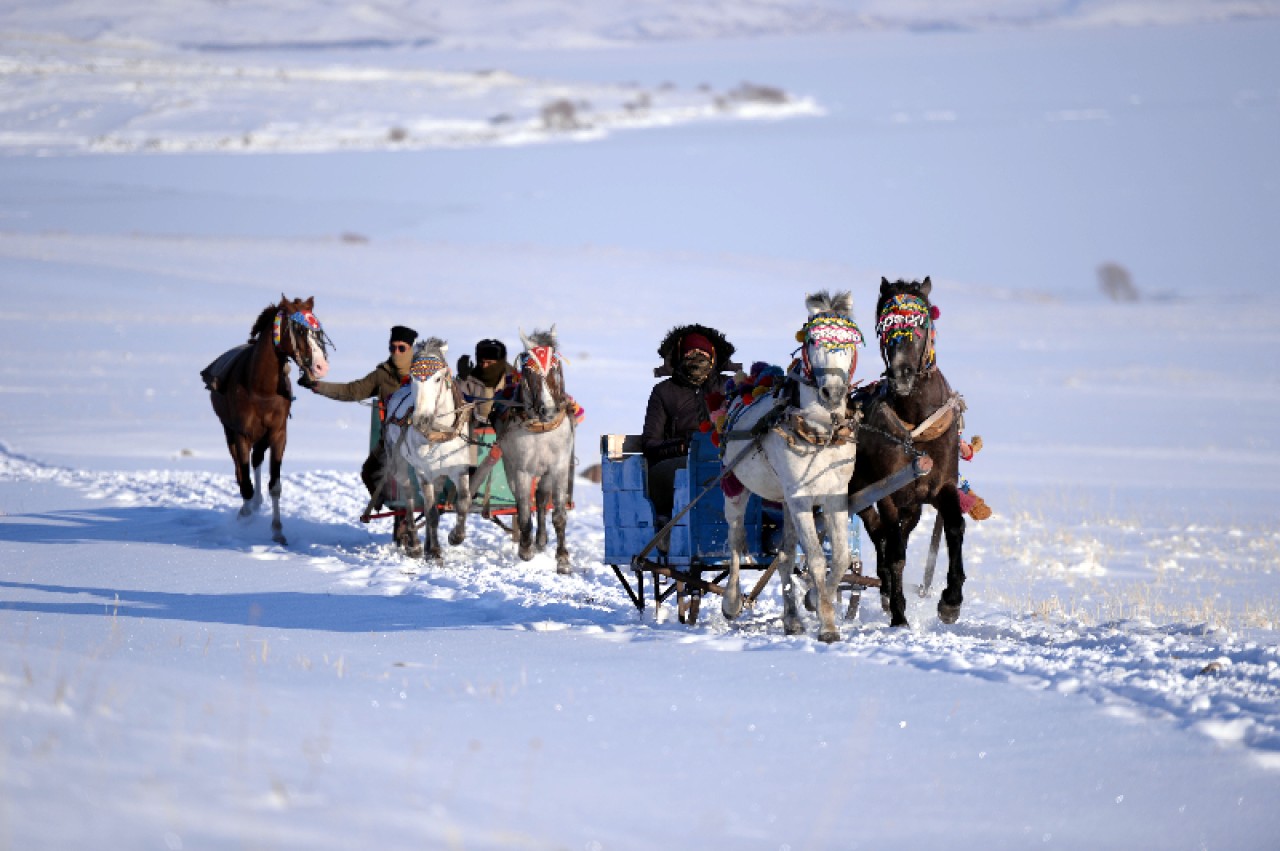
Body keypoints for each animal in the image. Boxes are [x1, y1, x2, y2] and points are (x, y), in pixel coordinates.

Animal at [204, 294, 330, 545]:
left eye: (318, 332)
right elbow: (245, 482)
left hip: (262, 438)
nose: (321, 366)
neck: (261, 389)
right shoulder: (242, 434)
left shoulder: (278, 434)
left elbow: (275, 486)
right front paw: (246, 516)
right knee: (240, 470)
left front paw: (277, 531)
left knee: (256, 461)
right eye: (299, 330)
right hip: (230, 432)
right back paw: (248, 507)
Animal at [381, 335, 478, 560]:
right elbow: (431, 512)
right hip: (401, 463)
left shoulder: (459, 470)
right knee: (409, 498)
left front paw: (455, 537)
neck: (439, 432)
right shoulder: (425, 472)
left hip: (439, 475)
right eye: (411, 378)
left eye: (438, 379)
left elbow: (463, 502)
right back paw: (415, 545)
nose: (421, 420)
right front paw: (434, 551)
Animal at [494, 327, 576, 573]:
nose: (547, 409)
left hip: (546, 473)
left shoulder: (558, 468)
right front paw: (525, 549)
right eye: (528, 369)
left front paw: (563, 559)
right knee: (523, 505)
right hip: (511, 468)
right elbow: (522, 512)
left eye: (555, 366)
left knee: (540, 500)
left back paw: (541, 540)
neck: (542, 430)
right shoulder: (522, 470)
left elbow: (558, 515)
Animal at [721, 289, 870, 639]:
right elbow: (815, 558)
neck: (820, 432)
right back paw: (731, 602)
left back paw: (791, 619)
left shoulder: (834, 496)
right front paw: (827, 625)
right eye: (813, 340)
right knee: (735, 541)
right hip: (736, 486)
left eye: (852, 341)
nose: (833, 392)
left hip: (785, 501)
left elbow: (839, 558)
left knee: (786, 555)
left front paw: (816, 598)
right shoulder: (802, 498)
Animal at [855, 275, 962, 627]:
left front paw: (951, 600)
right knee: (879, 534)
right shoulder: (887, 493)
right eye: (883, 326)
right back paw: (888, 593)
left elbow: (955, 527)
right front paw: (900, 615)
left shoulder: (943, 486)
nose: (901, 375)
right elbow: (895, 554)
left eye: (920, 325)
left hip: (912, 505)